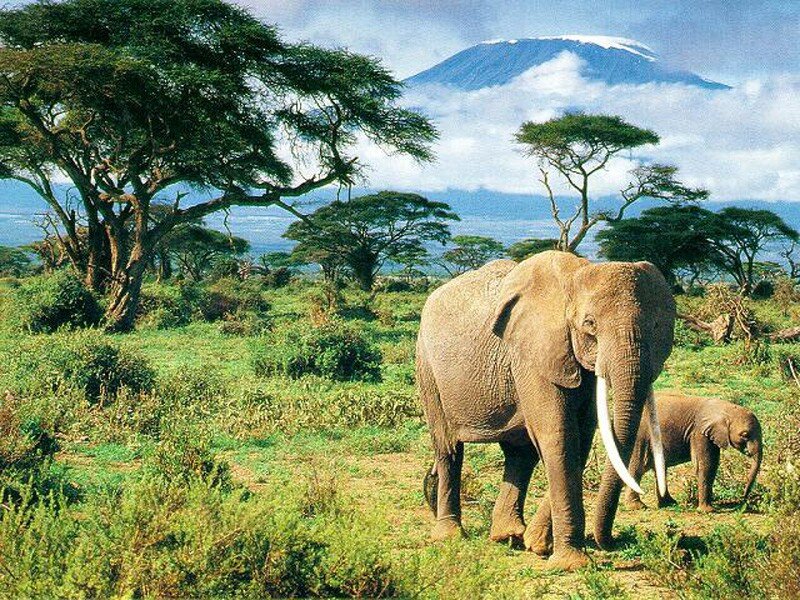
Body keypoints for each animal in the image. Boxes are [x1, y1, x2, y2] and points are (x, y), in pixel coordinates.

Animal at [416, 251, 675, 570]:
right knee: (449, 448)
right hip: (427, 367)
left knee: (519, 453)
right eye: (589, 324)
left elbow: (582, 435)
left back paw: (508, 535)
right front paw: (571, 564)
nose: (611, 542)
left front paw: (538, 545)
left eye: (655, 327)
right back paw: (450, 535)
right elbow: (559, 434)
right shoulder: (533, 351)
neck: (575, 276)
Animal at [623, 392, 763, 512]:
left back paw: (669, 504)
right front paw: (707, 511)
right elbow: (704, 465)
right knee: (638, 467)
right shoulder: (699, 432)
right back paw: (638, 507)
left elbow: (713, 465)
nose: (743, 498)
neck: (725, 408)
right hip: (640, 437)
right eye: (745, 435)